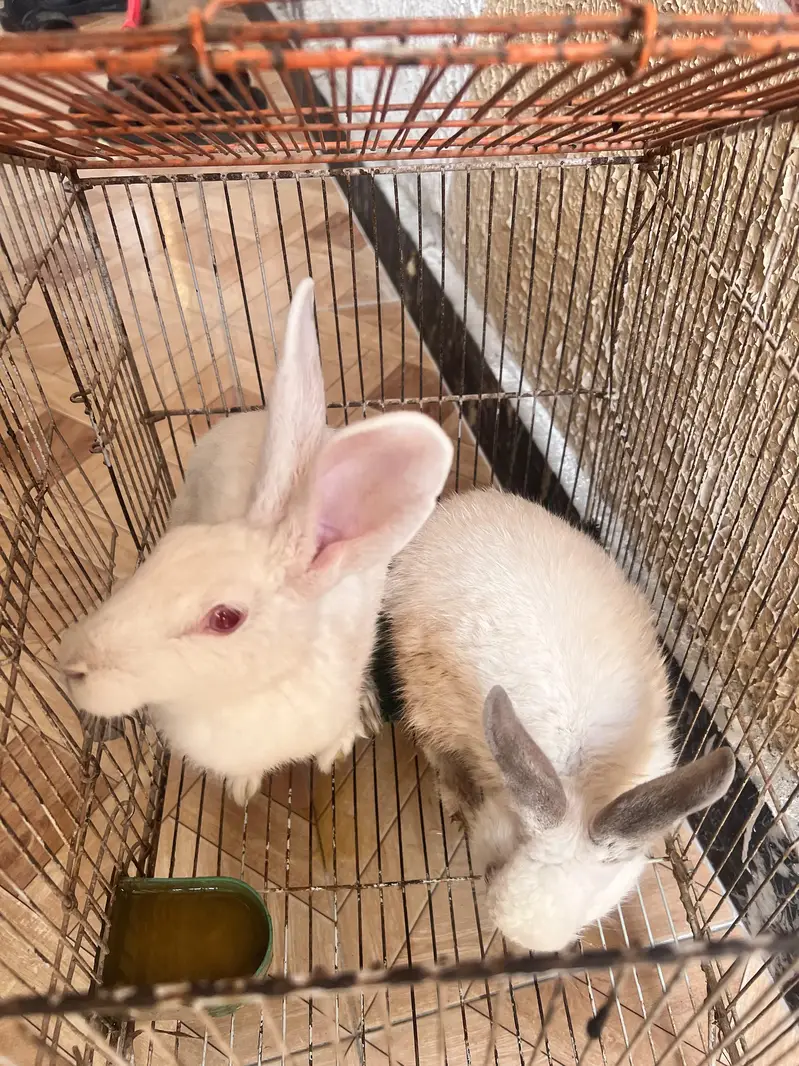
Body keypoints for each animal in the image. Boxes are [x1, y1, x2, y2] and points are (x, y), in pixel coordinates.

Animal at [382, 488, 735, 953]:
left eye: (585, 915)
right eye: (490, 872)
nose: (521, 942)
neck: (580, 784)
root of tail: (455, 508)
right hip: (419, 679)